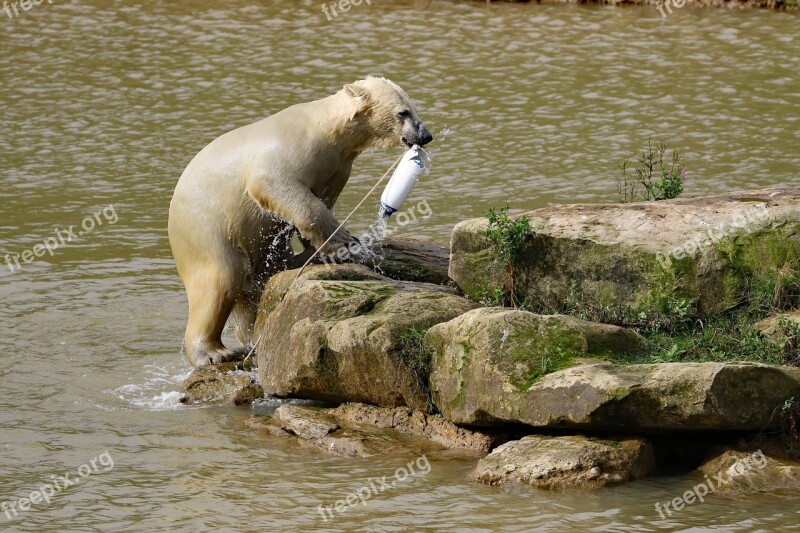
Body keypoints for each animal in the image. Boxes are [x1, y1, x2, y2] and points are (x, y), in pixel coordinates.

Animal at [168, 76, 432, 366]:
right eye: (403, 113)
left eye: (414, 108)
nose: (425, 135)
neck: (325, 129)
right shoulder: (290, 150)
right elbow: (279, 187)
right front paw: (345, 243)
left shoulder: (336, 167)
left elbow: (322, 200)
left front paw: (326, 248)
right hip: (205, 231)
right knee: (220, 280)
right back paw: (215, 353)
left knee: (255, 286)